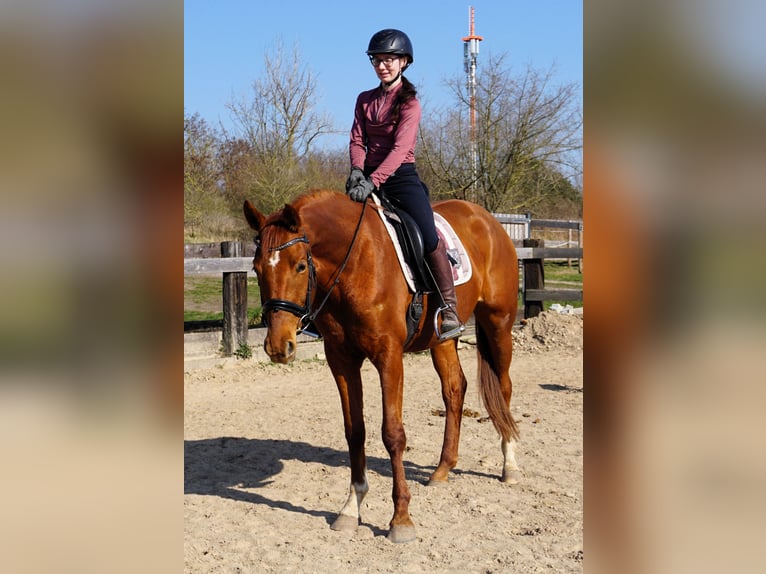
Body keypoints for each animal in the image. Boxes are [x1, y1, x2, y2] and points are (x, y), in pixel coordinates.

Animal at [243, 190, 520, 543]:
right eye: (256, 269)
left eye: (301, 266)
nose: (279, 347)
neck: (356, 261)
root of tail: (487, 220)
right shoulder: (341, 359)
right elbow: (354, 431)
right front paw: (351, 508)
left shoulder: (389, 356)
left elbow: (392, 434)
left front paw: (401, 519)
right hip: (441, 339)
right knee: (454, 389)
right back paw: (443, 468)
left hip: (499, 323)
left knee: (503, 387)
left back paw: (510, 465)